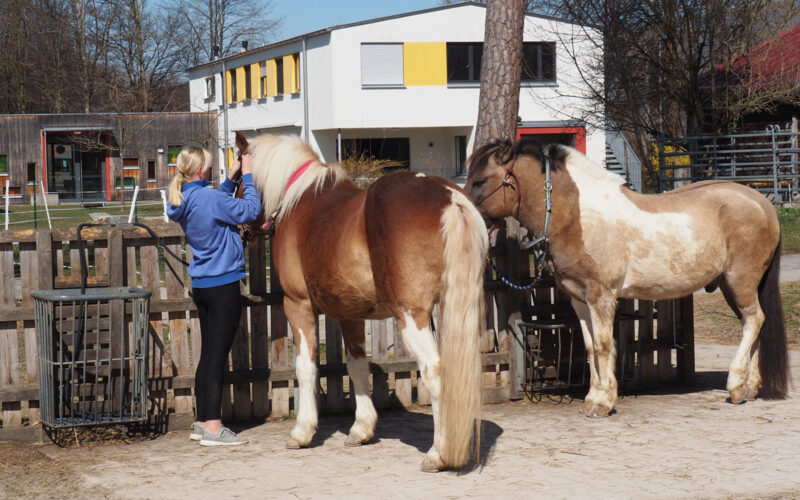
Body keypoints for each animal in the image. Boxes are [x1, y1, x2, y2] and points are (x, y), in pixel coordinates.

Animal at [245, 133, 488, 468]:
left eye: (235, 177)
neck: (300, 202)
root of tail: (448, 197)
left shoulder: (298, 305)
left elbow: (305, 367)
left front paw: (302, 432)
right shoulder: (351, 314)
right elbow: (357, 365)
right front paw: (361, 429)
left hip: (411, 316)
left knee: (435, 370)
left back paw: (438, 453)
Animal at [466, 140, 792, 418]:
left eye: (480, 181)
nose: (468, 218)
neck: (577, 216)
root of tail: (761, 202)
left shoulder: (602, 295)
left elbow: (602, 344)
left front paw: (604, 402)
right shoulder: (579, 298)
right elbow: (589, 346)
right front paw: (592, 398)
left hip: (740, 281)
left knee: (754, 321)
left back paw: (735, 386)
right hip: (733, 285)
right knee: (753, 324)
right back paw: (749, 387)